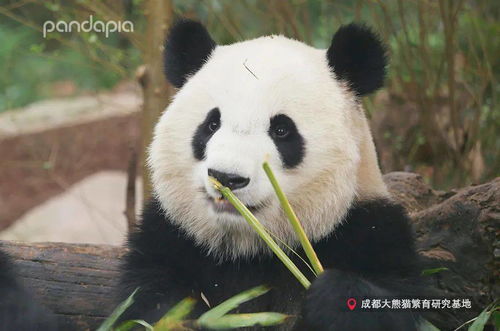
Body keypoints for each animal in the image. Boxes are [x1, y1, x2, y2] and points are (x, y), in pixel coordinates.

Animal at [118, 19, 426, 330]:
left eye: (281, 130)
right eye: (211, 124)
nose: (227, 178)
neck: (250, 249)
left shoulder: (369, 233)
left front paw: (333, 296)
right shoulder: (172, 238)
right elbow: (151, 304)